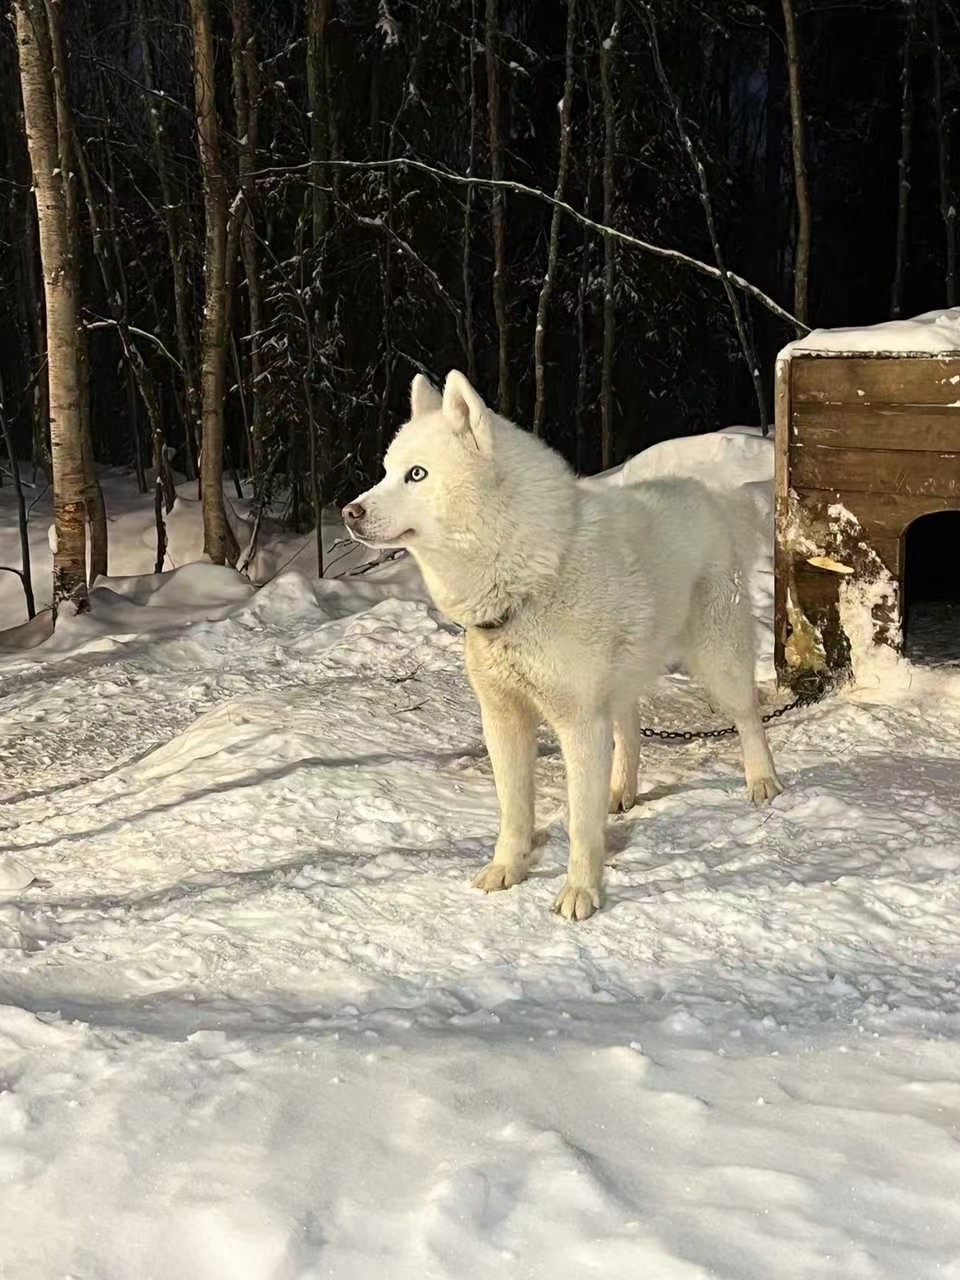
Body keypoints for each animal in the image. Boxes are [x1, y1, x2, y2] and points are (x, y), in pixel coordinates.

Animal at [345, 371, 783, 921]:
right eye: (386, 472)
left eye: (417, 475)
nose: (349, 513)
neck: (527, 581)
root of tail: (710, 498)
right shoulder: (503, 719)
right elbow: (515, 810)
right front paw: (507, 870)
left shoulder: (578, 724)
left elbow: (580, 824)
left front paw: (580, 892)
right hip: (624, 679)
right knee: (631, 728)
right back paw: (621, 790)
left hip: (718, 662)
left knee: (748, 717)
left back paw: (762, 781)